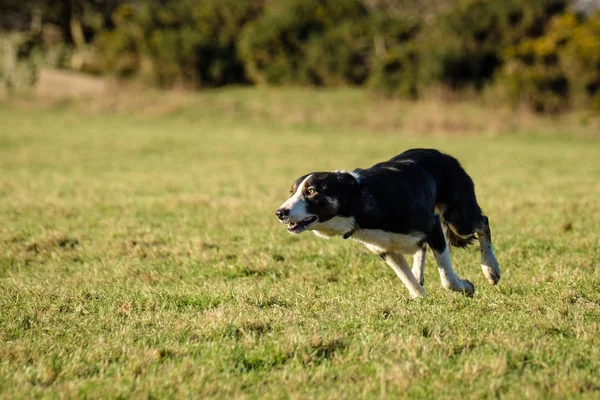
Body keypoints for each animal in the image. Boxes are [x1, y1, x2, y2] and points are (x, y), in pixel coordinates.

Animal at [276, 148, 502, 298]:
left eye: (311, 191)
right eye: (292, 192)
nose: (280, 212)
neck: (358, 204)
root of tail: (446, 156)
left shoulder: (432, 225)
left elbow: (447, 278)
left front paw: (466, 288)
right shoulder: (386, 250)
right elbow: (407, 279)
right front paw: (419, 295)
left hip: (458, 219)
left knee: (483, 222)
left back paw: (491, 270)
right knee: (420, 248)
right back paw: (418, 272)